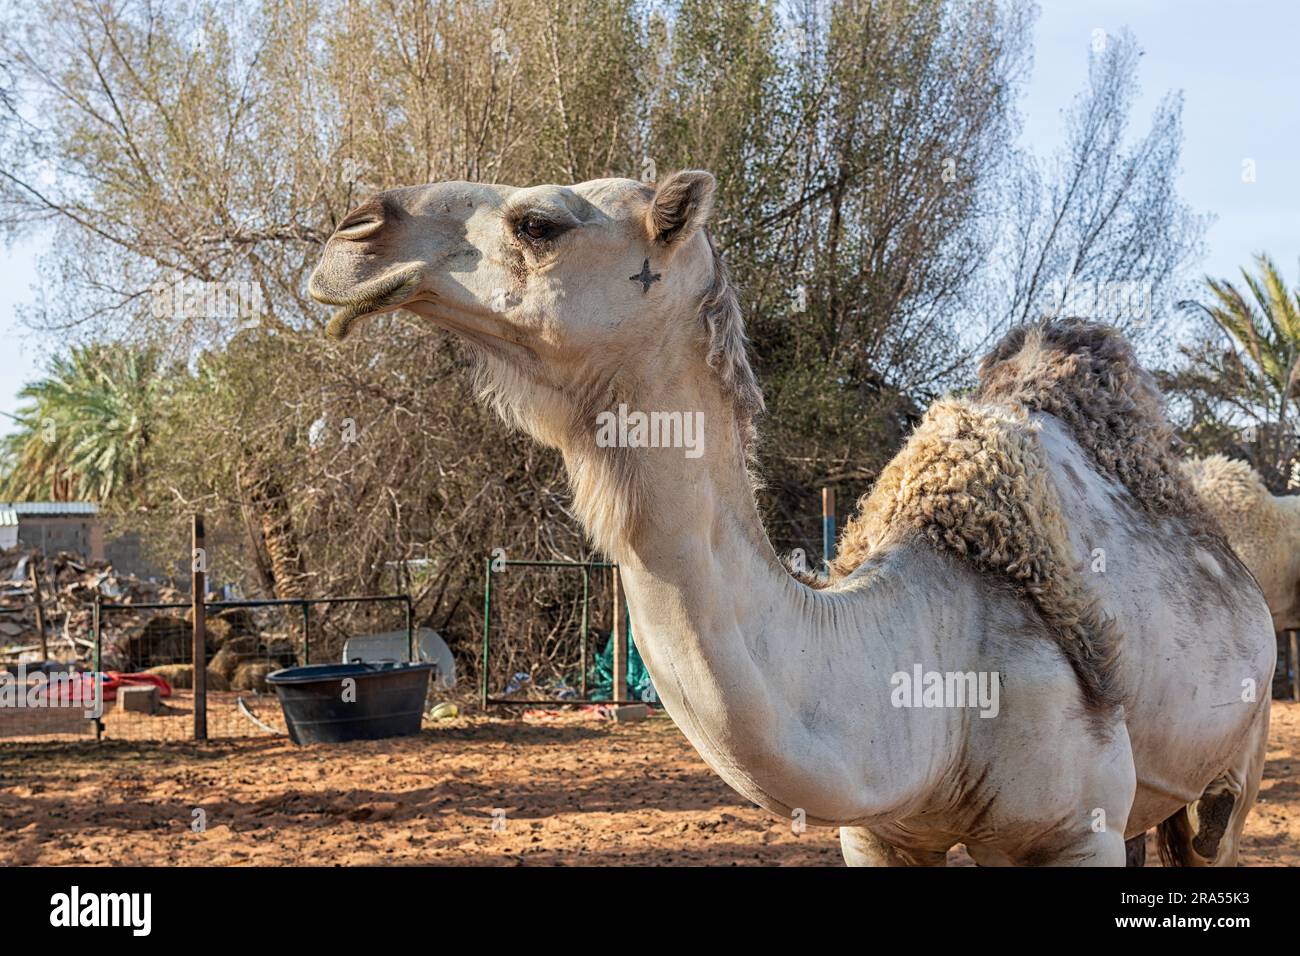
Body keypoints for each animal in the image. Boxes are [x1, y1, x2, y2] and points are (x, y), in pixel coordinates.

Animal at [309, 171, 1274, 868]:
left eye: (539, 223)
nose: (353, 233)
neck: (939, 657)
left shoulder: (1076, 830)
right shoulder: (880, 833)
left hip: (1235, 765)